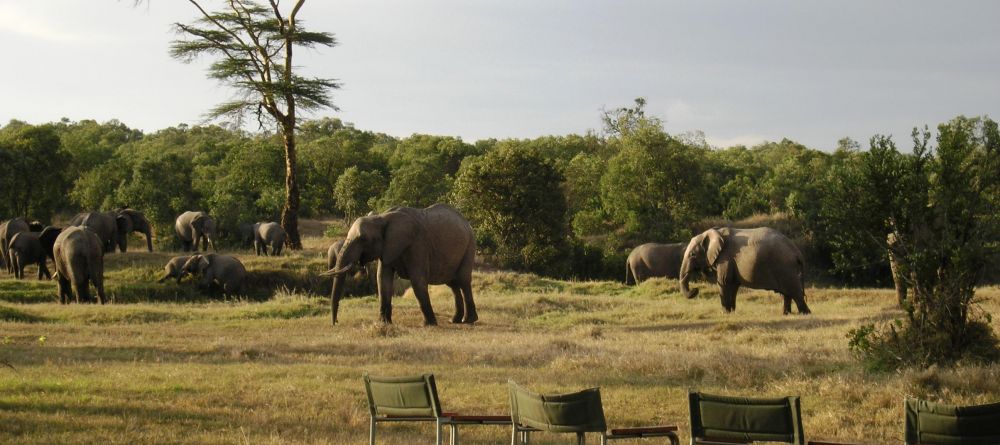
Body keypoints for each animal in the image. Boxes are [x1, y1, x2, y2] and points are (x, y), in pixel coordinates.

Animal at [323, 203, 478, 326]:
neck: (382, 218)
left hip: (470, 246)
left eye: (363, 239)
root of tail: (467, 223)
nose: (336, 322)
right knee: (453, 284)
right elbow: (382, 279)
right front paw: (384, 323)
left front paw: (429, 324)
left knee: (463, 281)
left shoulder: (418, 244)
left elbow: (417, 281)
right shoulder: (387, 248)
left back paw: (468, 321)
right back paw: (455, 320)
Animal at [679, 227, 811, 315]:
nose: (696, 289)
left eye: (692, 254)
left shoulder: (725, 258)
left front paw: (725, 313)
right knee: (787, 293)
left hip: (785, 268)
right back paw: (786, 314)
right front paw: (731, 312)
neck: (714, 232)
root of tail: (797, 253)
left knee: (795, 292)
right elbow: (733, 285)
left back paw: (805, 313)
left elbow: (724, 282)